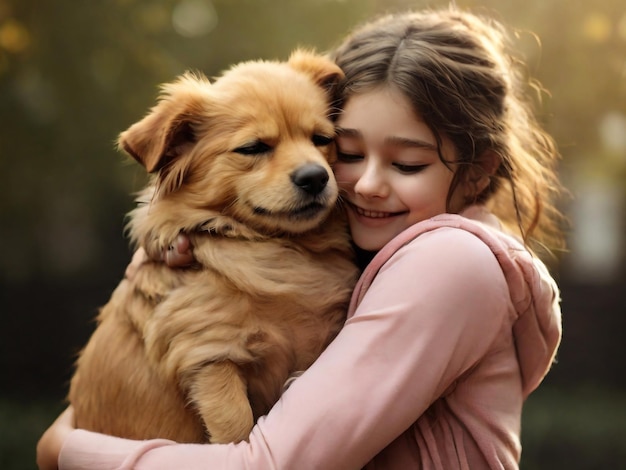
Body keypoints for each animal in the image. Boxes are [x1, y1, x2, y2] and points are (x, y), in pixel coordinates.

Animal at [67, 50, 360, 444]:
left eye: (322, 139)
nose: (315, 177)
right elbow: (236, 426)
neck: (279, 248)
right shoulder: (209, 358)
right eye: (253, 148)